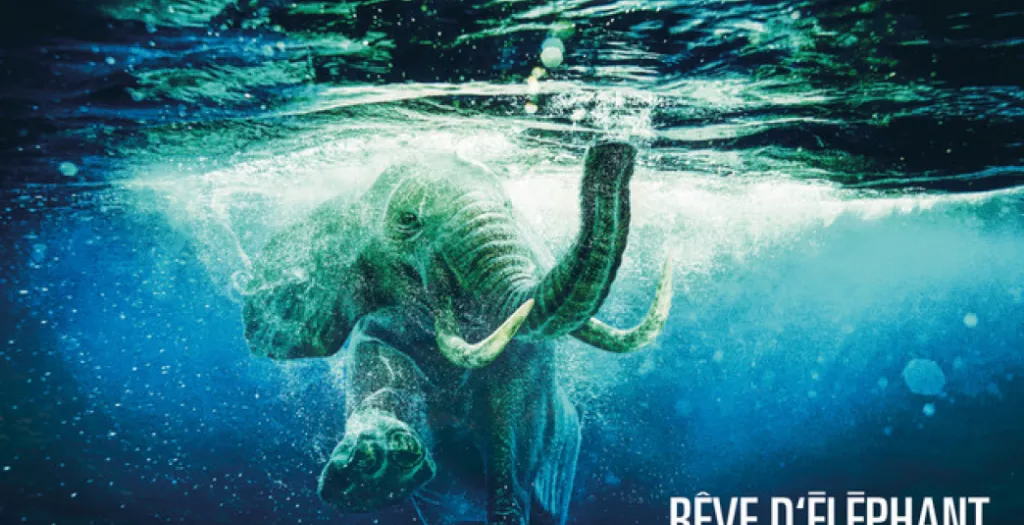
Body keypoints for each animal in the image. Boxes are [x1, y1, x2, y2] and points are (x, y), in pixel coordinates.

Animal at [239, 141, 673, 525]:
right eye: (408, 220)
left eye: (508, 207)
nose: (612, 152)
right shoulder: (377, 332)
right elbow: (380, 383)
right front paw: (373, 466)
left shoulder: (530, 369)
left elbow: (515, 447)